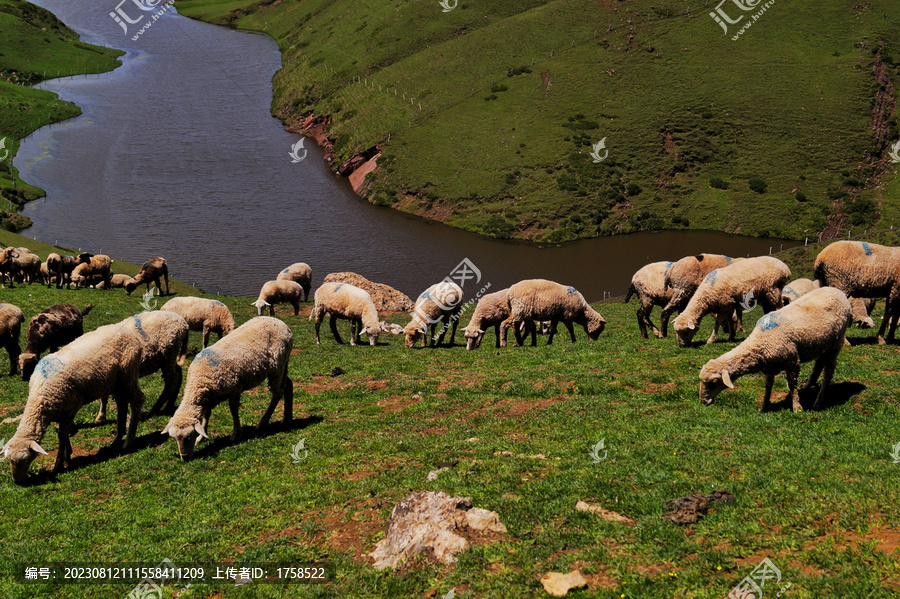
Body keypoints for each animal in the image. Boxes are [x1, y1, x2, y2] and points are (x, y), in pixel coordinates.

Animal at [1, 322, 145, 486]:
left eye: (25, 460)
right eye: (9, 460)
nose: (17, 482)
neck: (40, 397)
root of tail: (130, 334)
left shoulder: (71, 408)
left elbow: (62, 434)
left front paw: (60, 463)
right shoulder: (58, 410)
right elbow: (59, 431)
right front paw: (67, 455)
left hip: (129, 373)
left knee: (137, 400)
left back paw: (128, 441)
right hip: (117, 382)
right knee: (121, 404)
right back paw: (116, 440)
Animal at [158, 316, 292, 462]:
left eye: (188, 437)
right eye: (174, 438)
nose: (185, 458)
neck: (198, 380)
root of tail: (280, 323)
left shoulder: (234, 389)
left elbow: (233, 411)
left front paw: (236, 434)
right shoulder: (209, 395)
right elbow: (206, 415)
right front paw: (201, 437)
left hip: (277, 366)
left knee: (277, 393)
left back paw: (262, 424)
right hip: (283, 364)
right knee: (288, 385)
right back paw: (286, 419)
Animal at [696, 286, 852, 412]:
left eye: (714, 383)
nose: (703, 401)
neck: (760, 341)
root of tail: (838, 292)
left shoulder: (792, 360)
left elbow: (792, 385)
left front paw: (796, 407)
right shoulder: (769, 366)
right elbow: (768, 387)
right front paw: (764, 407)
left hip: (836, 342)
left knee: (828, 372)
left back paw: (819, 401)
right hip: (822, 343)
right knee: (818, 365)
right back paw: (808, 386)